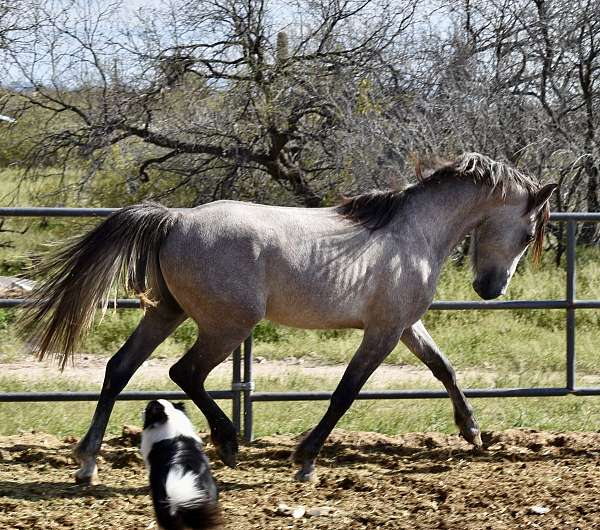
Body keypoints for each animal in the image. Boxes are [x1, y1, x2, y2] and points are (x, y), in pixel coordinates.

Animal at [19, 153, 556, 482]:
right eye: (530, 234)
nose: (490, 290)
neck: (415, 234)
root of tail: (176, 219)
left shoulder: (404, 326)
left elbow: (443, 367)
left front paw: (472, 432)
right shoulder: (383, 332)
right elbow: (345, 393)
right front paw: (305, 460)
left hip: (168, 313)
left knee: (120, 368)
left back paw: (87, 463)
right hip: (227, 325)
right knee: (183, 372)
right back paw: (227, 443)